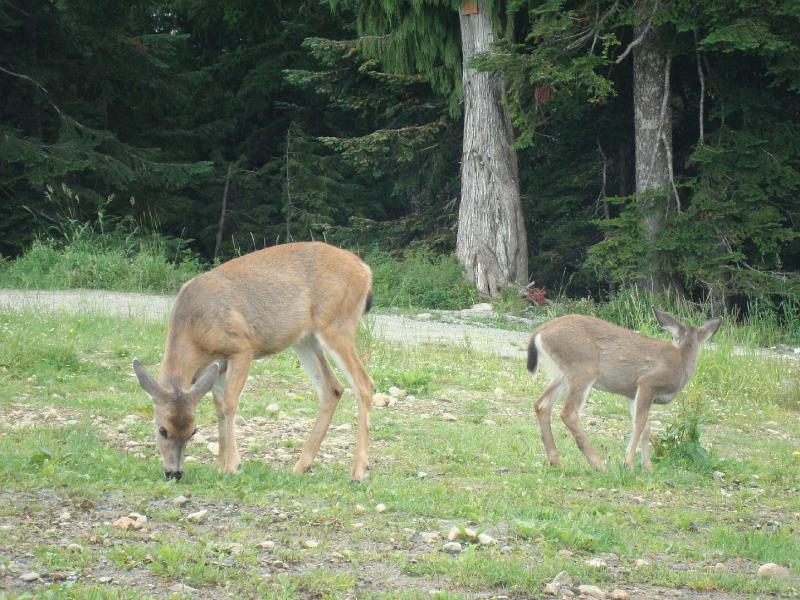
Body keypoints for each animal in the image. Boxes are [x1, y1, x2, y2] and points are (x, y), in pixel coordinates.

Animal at [132, 241, 376, 480]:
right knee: (332, 388)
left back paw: (358, 472)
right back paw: (300, 467)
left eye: (194, 431)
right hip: (305, 339)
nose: (174, 473)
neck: (194, 330)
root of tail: (365, 269)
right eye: (162, 429)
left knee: (364, 384)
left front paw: (232, 465)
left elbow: (230, 402)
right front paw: (219, 464)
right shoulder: (217, 366)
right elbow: (219, 407)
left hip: (337, 324)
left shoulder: (241, 346)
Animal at [528, 308, 720, 472]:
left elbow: (646, 428)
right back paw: (599, 465)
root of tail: (539, 332)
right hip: (583, 368)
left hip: (563, 375)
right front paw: (629, 463)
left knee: (541, 404)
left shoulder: (632, 393)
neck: (681, 362)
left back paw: (555, 461)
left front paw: (648, 468)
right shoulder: (648, 382)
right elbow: (640, 424)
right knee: (569, 413)